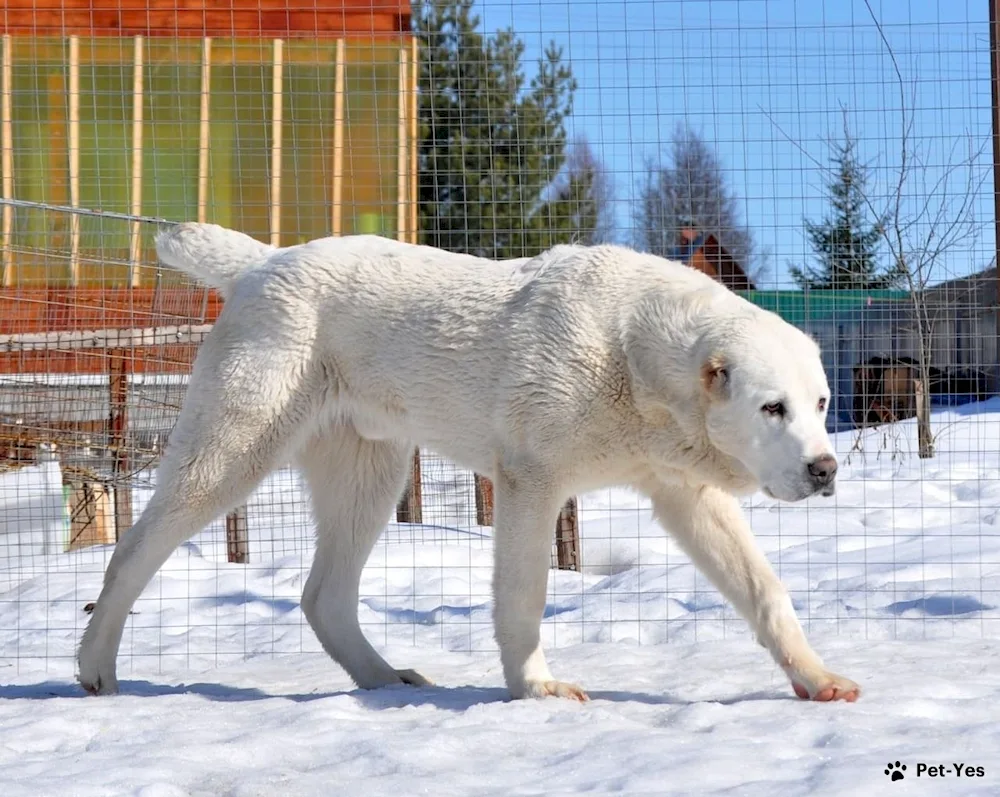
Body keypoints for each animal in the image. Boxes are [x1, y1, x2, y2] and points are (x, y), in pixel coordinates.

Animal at [78, 221, 860, 700]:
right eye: (772, 408)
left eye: (821, 403)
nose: (825, 470)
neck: (632, 355)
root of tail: (262, 261)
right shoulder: (529, 483)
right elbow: (523, 598)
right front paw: (535, 689)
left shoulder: (686, 495)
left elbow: (766, 593)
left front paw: (817, 677)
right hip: (230, 454)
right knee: (131, 554)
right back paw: (95, 666)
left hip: (372, 474)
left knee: (323, 596)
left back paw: (383, 679)